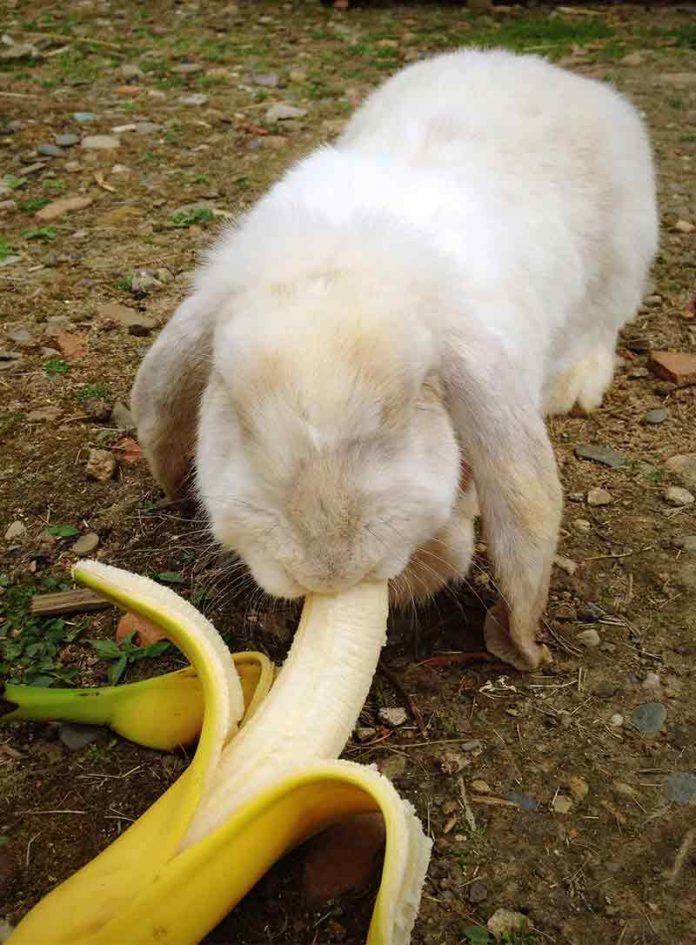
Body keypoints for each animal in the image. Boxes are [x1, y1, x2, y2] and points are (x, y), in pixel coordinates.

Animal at [131, 49, 658, 671]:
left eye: (409, 408)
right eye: (235, 413)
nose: (328, 569)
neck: (346, 251)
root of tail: (547, 71)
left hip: (622, 262)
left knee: (603, 321)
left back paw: (574, 385)